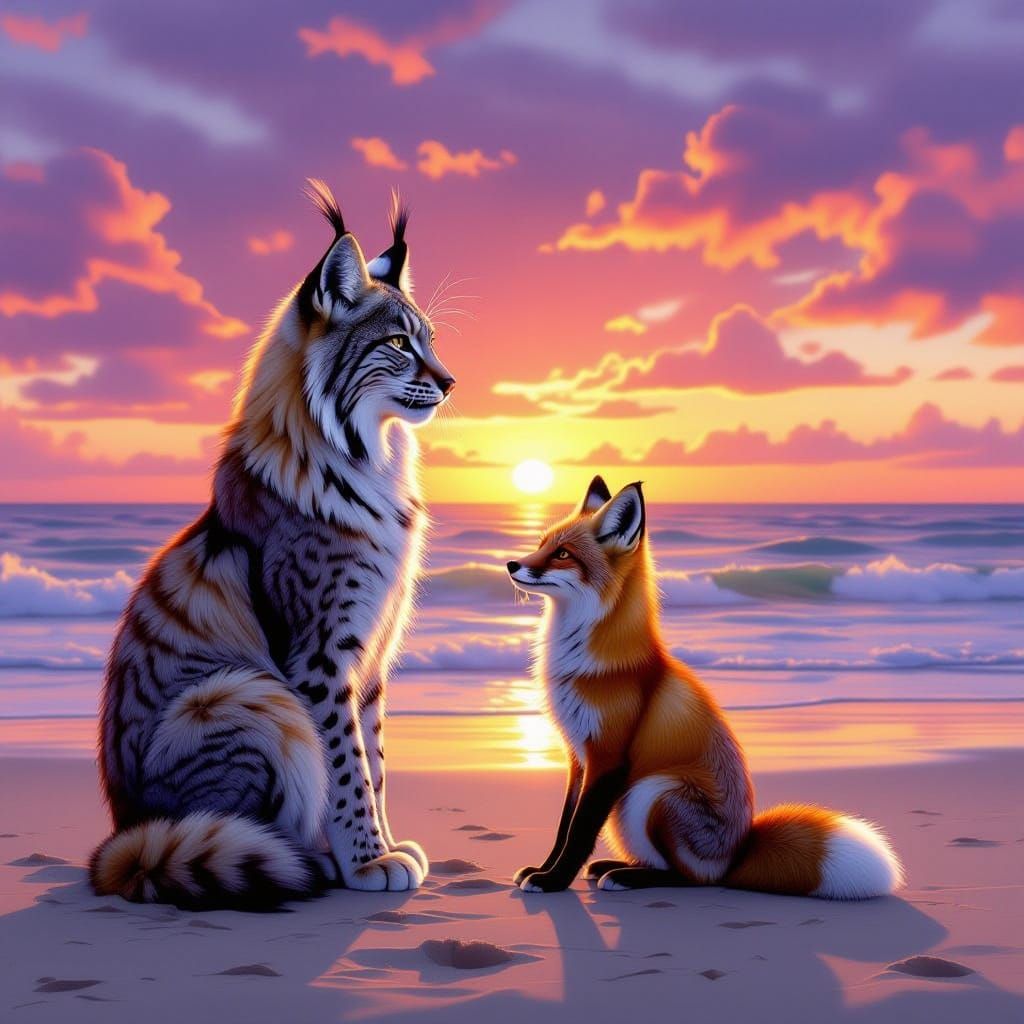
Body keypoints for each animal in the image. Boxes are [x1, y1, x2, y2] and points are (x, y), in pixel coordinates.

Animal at [506, 476, 904, 897]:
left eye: (562, 553)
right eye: (541, 544)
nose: (512, 564)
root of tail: (738, 852)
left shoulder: (608, 757)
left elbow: (579, 832)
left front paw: (553, 881)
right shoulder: (578, 755)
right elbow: (564, 826)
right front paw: (542, 869)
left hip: (653, 791)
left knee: (693, 878)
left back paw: (628, 876)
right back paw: (616, 867)